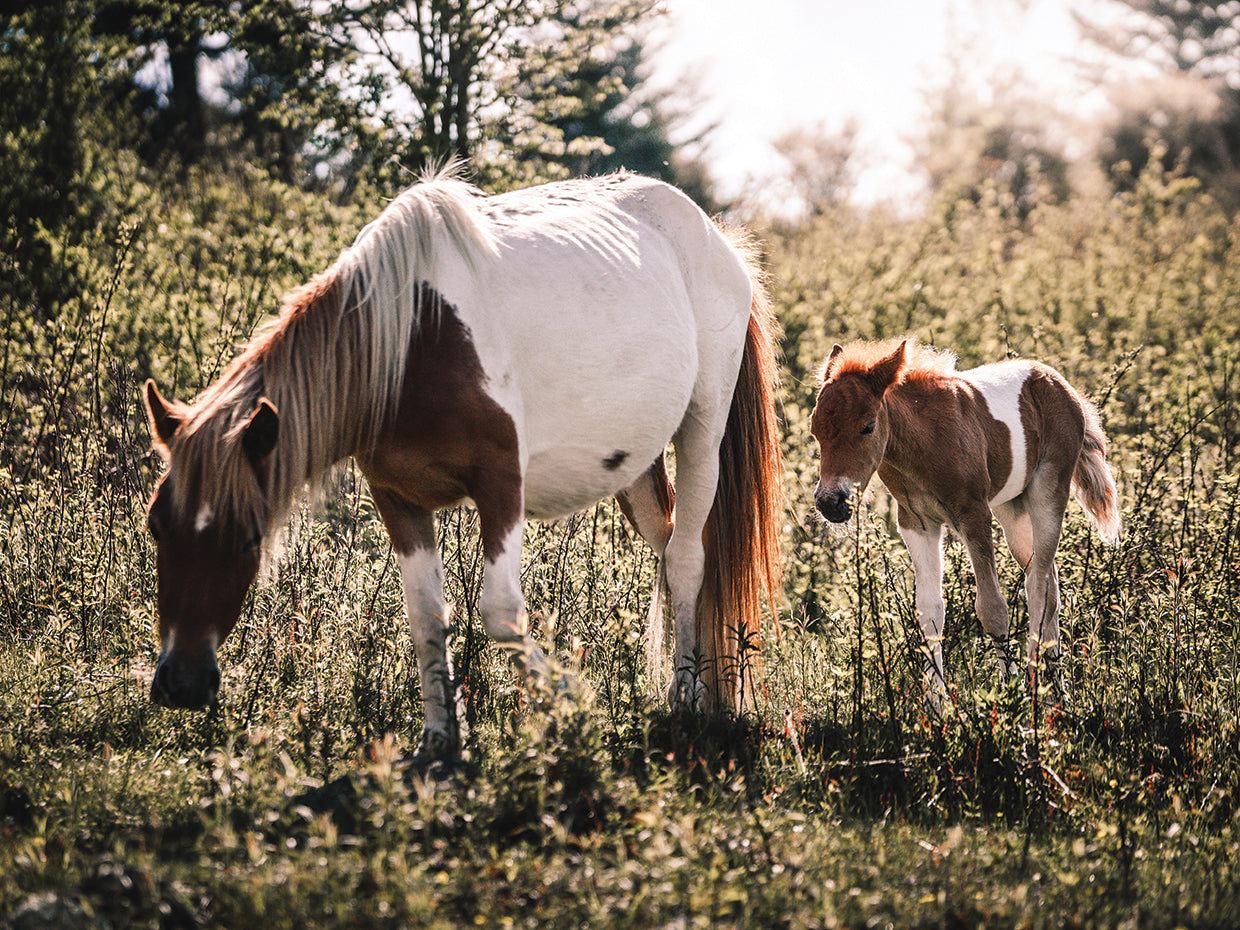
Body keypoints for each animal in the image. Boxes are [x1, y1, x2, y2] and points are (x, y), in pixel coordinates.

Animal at [142, 168, 783, 761]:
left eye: (250, 538)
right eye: (156, 528)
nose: (181, 683)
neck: (410, 341)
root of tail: (718, 239)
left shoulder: (502, 485)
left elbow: (500, 613)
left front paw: (569, 705)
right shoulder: (398, 499)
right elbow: (427, 617)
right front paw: (441, 741)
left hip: (702, 429)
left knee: (687, 559)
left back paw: (688, 703)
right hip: (637, 465)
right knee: (669, 549)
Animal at [809, 338, 1120, 710]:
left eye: (868, 426)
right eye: (815, 429)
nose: (830, 502)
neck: (924, 443)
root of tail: (1061, 384)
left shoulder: (974, 515)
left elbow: (993, 608)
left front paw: (1012, 695)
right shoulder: (917, 523)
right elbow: (930, 613)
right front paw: (937, 707)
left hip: (1047, 492)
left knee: (1037, 586)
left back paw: (1036, 688)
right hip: (1012, 510)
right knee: (1049, 581)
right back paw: (1056, 694)